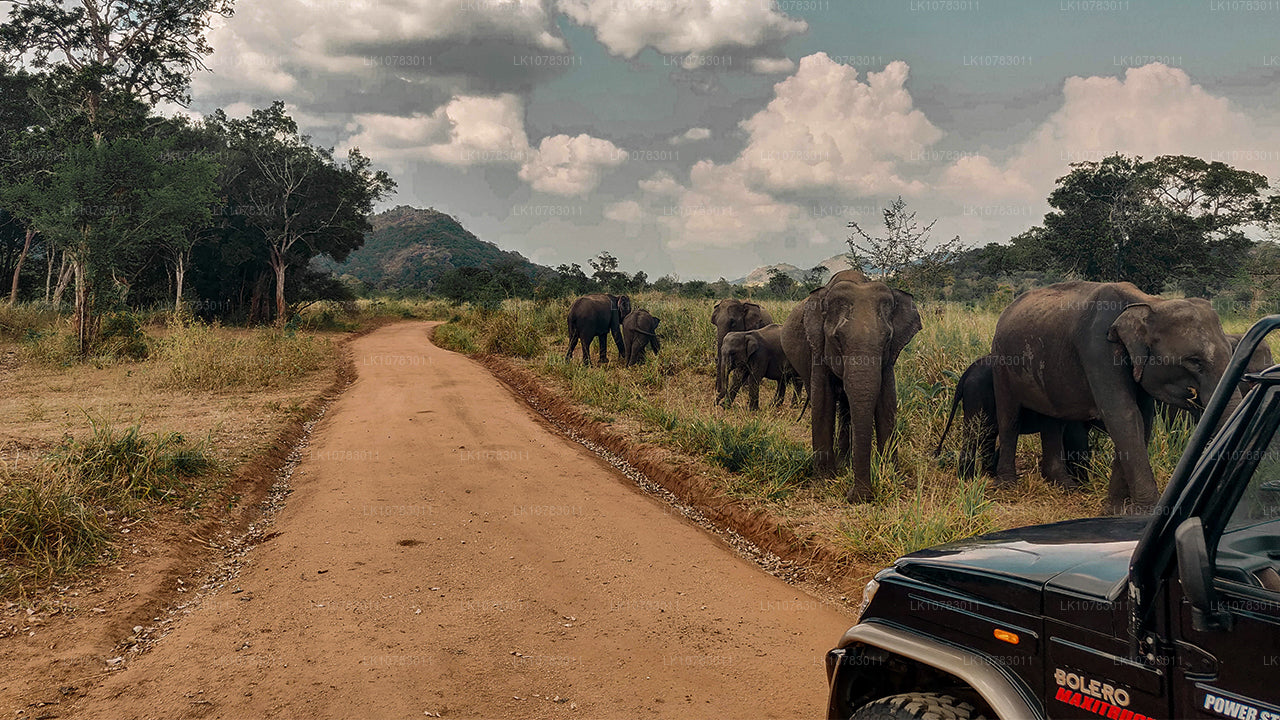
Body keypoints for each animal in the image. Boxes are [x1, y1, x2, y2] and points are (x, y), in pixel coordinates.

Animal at [778, 269, 921, 499]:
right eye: (837, 338)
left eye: (888, 338)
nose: (856, 495)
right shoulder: (818, 347)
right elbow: (823, 400)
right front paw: (825, 480)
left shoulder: (888, 360)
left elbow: (887, 402)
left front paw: (891, 475)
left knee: (846, 407)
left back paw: (845, 463)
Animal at [931, 353, 1100, 486]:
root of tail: (966, 373)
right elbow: (1076, 438)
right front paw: (1083, 484)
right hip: (978, 393)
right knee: (975, 433)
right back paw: (967, 479)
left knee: (988, 435)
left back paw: (988, 474)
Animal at [988, 279, 1239, 509]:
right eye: (1194, 361)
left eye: (1231, 351)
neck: (1149, 303)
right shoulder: (1098, 349)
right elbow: (1123, 415)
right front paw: (1147, 511)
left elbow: (1141, 420)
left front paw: (1116, 508)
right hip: (1002, 363)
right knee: (1009, 417)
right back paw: (1008, 485)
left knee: (1053, 420)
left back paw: (1064, 485)